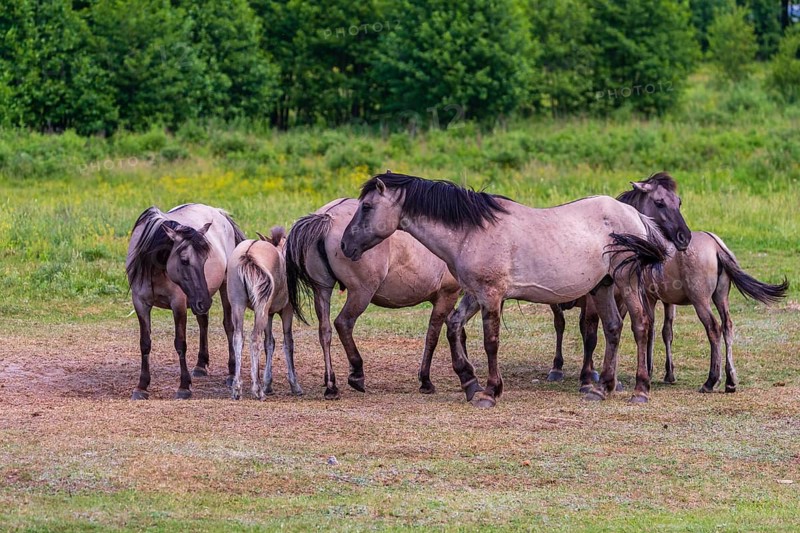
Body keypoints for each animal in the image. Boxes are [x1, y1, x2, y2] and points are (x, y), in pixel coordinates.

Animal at [126, 203, 245, 400]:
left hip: (221, 289)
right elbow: (145, 343)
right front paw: (141, 386)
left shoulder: (179, 305)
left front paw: (183, 386)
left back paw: (231, 373)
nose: (205, 301)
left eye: (205, 259)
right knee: (203, 322)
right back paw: (200, 365)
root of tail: (218, 212)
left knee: (229, 326)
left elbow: (180, 344)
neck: (154, 268)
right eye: (184, 260)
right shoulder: (140, 303)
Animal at [227, 227, 302, 400]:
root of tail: (248, 254)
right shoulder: (286, 310)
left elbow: (270, 343)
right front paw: (294, 385)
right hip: (260, 308)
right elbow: (288, 342)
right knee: (254, 338)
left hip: (238, 304)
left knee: (238, 338)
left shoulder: (269, 314)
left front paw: (268, 383)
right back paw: (257, 390)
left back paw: (237, 388)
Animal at [285, 197, 461, 400]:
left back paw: (331, 385)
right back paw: (356, 373)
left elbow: (456, 329)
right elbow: (433, 336)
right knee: (343, 323)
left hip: (322, 290)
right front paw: (426, 380)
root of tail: (327, 217)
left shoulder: (441, 298)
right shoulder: (447, 295)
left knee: (325, 332)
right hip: (361, 293)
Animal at [340, 172, 691, 406]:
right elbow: (453, 327)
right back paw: (600, 388)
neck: (470, 231)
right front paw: (469, 382)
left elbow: (490, 342)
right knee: (613, 328)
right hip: (603, 287)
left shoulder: (491, 296)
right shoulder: (474, 294)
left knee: (641, 325)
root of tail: (636, 215)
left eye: (367, 207)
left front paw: (490, 392)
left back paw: (640, 390)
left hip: (625, 281)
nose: (345, 245)